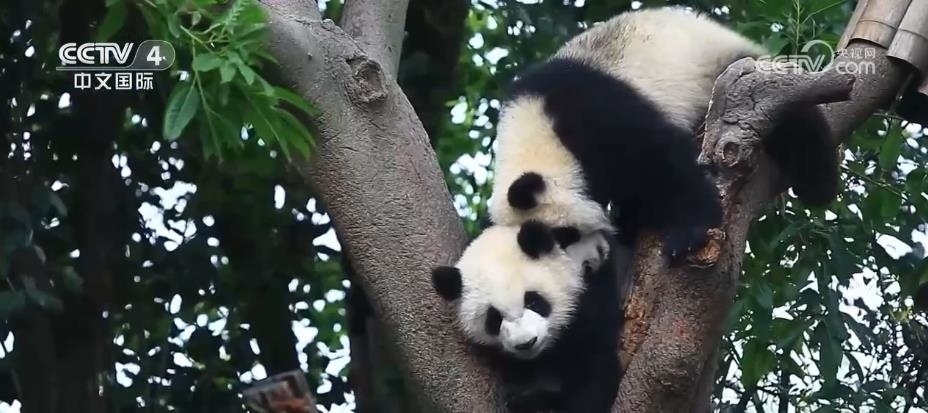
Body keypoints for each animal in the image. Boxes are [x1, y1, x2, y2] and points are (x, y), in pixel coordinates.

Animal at [488, 7, 840, 264]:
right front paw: (630, 224)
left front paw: (690, 233)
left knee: (793, 117)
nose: (592, 262)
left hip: (731, 76)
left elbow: (661, 157)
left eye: (565, 235)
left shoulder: (590, 113)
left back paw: (817, 183)